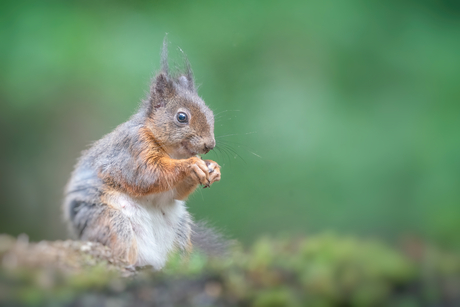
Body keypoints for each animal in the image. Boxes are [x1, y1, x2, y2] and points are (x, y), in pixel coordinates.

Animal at [62, 40, 223, 270]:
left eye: (210, 113)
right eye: (181, 117)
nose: (210, 145)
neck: (173, 152)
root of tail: (153, 258)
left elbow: (174, 192)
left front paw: (213, 168)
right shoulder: (132, 149)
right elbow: (148, 175)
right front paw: (191, 165)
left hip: (181, 232)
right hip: (111, 222)